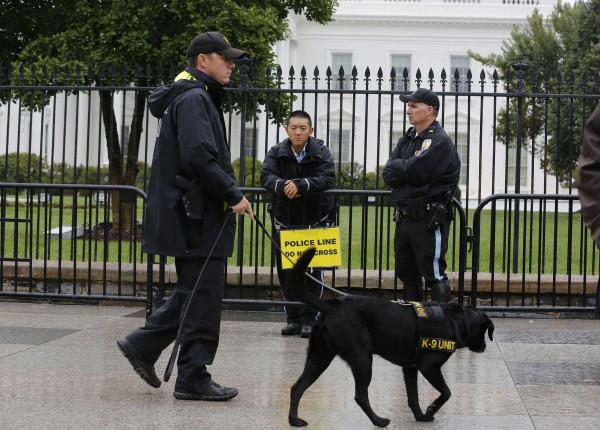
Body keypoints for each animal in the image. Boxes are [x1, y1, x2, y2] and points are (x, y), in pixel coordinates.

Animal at [288, 247, 494, 428]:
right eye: (485, 331)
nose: (484, 346)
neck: (456, 320)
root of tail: (332, 305)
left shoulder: (410, 368)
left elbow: (413, 397)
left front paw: (420, 416)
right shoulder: (429, 366)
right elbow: (446, 392)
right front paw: (431, 409)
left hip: (319, 358)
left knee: (297, 387)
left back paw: (294, 421)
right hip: (362, 359)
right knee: (360, 396)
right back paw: (378, 421)